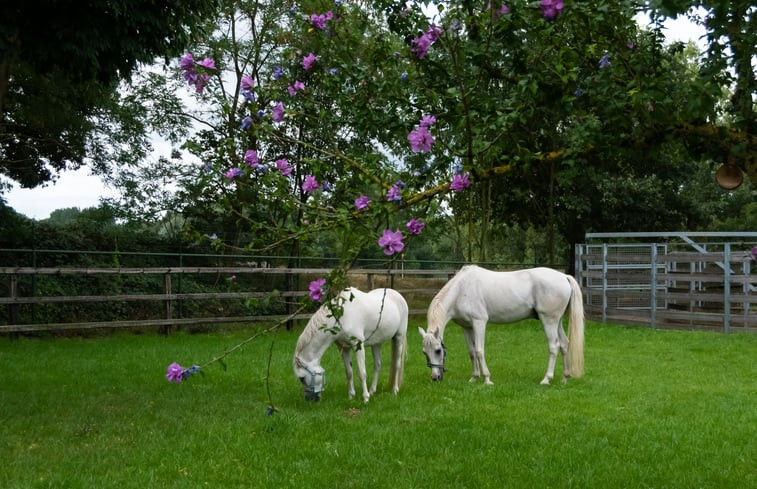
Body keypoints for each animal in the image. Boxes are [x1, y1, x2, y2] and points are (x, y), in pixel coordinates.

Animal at [416, 264, 580, 384]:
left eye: (438, 350)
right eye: (424, 352)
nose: (435, 377)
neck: (461, 289)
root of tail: (564, 276)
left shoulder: (479, 323)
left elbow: (479, 351)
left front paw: (487, 379)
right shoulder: (466, 326)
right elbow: (471, 352)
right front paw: (474, 378)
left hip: (549, 320)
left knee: (554, 346)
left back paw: (546, 379)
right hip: (557, 321)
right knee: (564, 344)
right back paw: (565, 378)